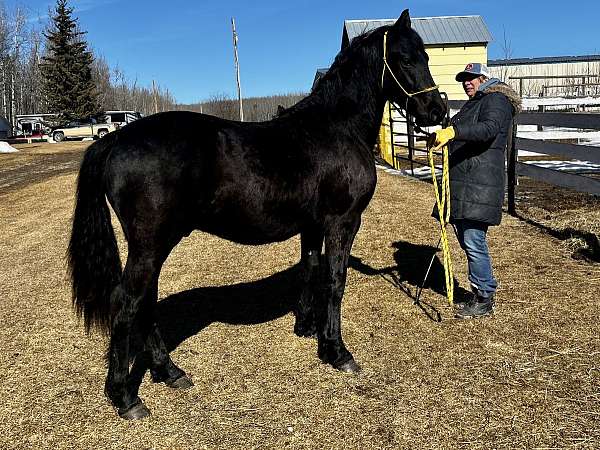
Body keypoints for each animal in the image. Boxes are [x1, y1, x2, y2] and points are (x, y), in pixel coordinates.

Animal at [69, 9, 446, 418]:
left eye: (427, 55)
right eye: (405, 58)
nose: (437, 110)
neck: (336, 128)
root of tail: (114, 139)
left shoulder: (312, 225)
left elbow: (311, 268)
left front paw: (306, 327)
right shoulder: (342, 221)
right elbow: (335, 280)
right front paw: (337, 351)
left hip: (154, 246)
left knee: (146, 303)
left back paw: (169, 372)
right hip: (151, 244)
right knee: (128, 302)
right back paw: (126, 397)